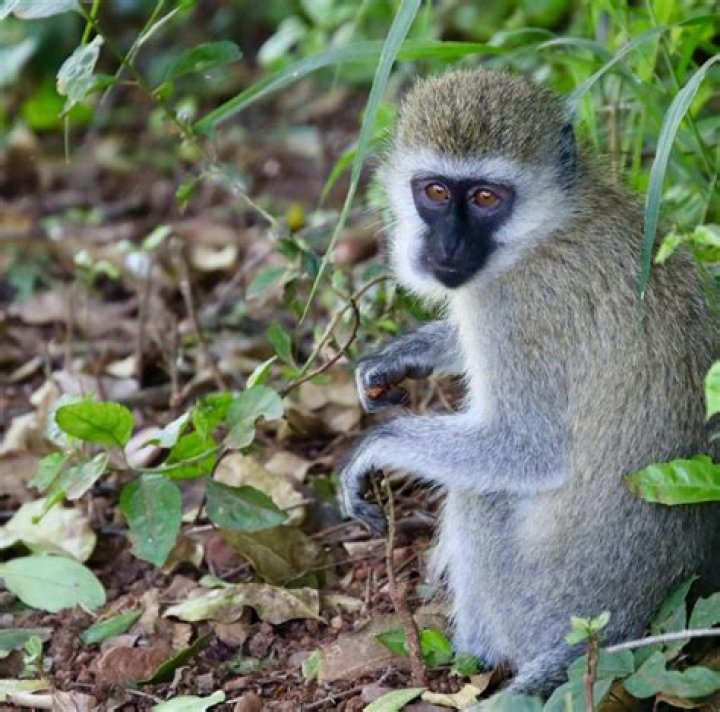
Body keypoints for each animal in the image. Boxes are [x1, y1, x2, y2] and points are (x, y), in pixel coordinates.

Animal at [339, 68, 718, 698]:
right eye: (435, 192)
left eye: (486, 199)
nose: (447, 247)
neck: (547, 229)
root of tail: (625, 621)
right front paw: (403, 357)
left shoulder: (516, 309)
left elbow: (531, 449)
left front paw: (376, 448)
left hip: (543, 604)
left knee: (481, 491)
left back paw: (475, 657)